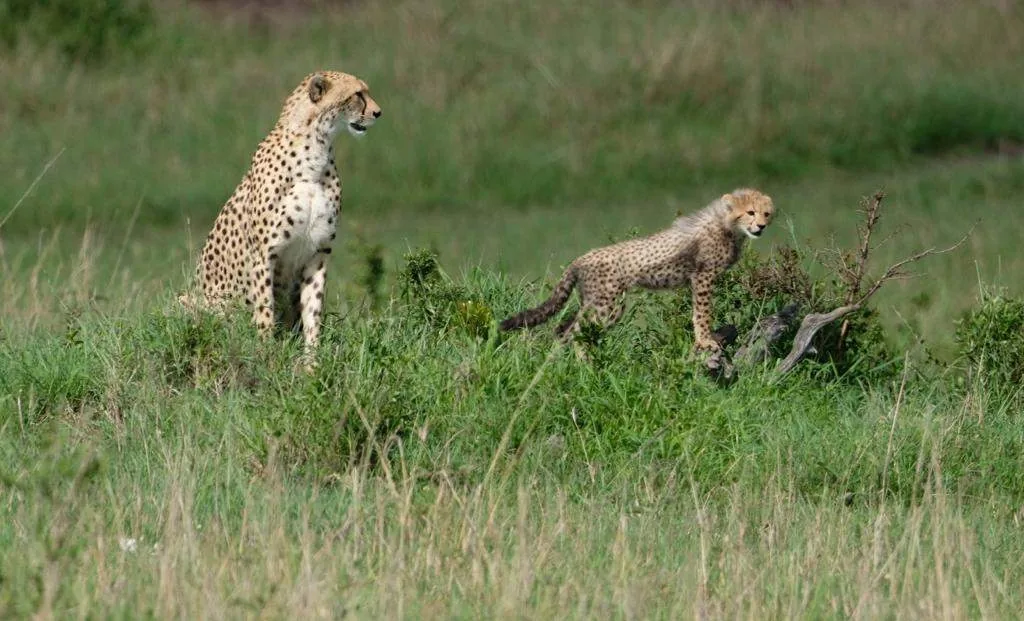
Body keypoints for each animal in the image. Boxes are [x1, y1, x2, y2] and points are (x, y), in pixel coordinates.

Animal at [181, 70, 382, 366]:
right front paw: (266, 357)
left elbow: (313, 312)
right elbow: (264, 310)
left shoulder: (318, 253)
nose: (378, 112)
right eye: (357, 94)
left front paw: (311, 363)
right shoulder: (264, 254)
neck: (316, 152)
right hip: (191, 300)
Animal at [499, 188, 775, 353]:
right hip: (607, 304)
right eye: (750, 212)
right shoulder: (703, 277)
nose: (761, 226)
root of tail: (582, 257)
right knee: (574, 331)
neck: (727, 226)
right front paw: (706, 340)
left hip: (593, 300)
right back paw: (583, 364)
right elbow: (702, 312)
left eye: (766, 213)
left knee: (562, 328)